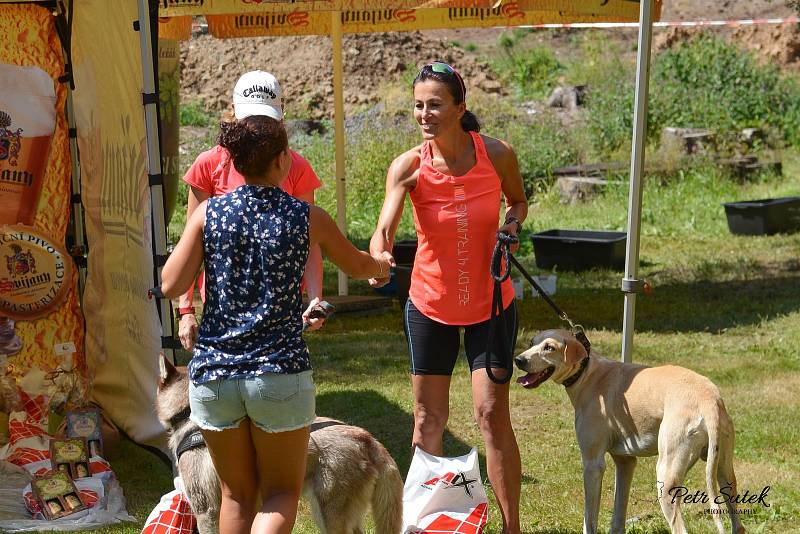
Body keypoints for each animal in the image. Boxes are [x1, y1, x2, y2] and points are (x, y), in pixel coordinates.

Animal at [512, 330, 744, 534]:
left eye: (549, 347)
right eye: (532, 342)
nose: (518, 360)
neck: (588, 374)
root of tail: (709, 400)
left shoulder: (593, 464)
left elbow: (589, 518)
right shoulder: (625, 462)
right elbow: (618, 514)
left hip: (666, 477)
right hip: (723, 472)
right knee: (738, 524)